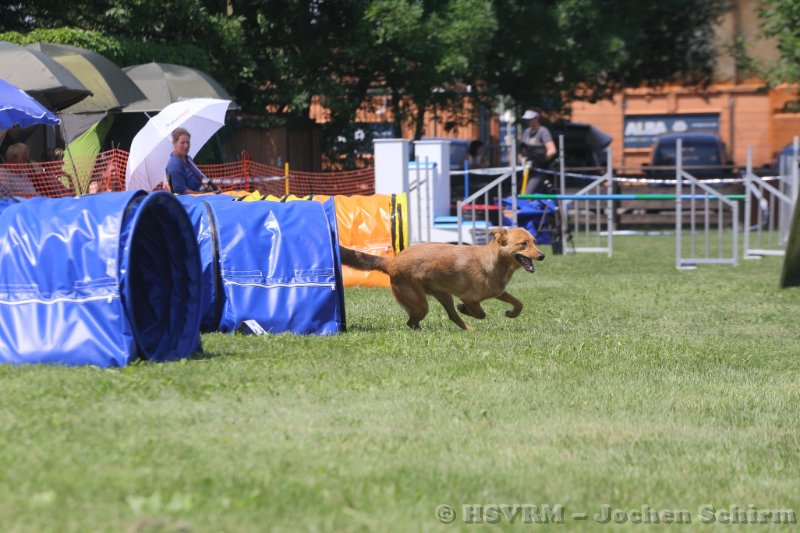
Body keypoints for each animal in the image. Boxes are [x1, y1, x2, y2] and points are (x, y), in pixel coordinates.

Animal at [340, 227, 545, 330]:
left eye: (535, 241)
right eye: (523, 244)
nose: (542, 255)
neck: (495, 262)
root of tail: (391, 263)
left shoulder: (498, 292)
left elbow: (519, 303)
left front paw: (511, 313)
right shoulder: (469, 297)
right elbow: (481, 313)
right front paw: (465, 309)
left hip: (443, 295)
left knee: (451, 316)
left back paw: (467, 329)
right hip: (420, 303)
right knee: (412, 321)